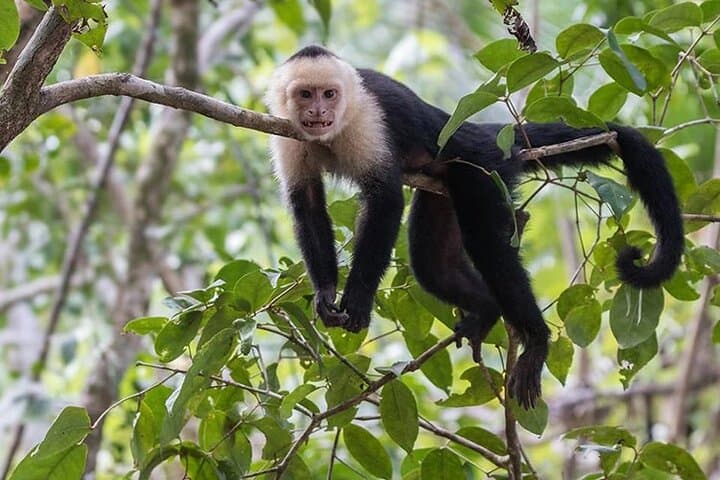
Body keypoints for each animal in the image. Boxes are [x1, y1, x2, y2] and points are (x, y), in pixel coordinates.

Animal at [265, 45, 684, 408]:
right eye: (305, 94)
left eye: (330, 94)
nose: (319, 110)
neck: (331, 133)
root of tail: (477, 134)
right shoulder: (289, 134)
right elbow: (306, 204)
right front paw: (325, 292)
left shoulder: (366, 121)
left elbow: (385, 198)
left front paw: (357, 299)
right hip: (444, 187)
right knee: (432, 265)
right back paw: (487, 311)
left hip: (481, 168)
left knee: (486, 244)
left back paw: (536, 340)